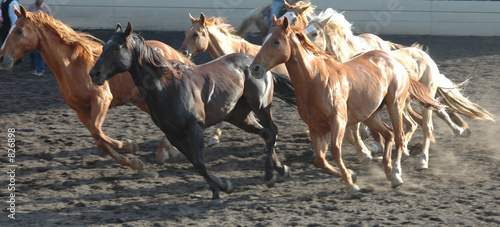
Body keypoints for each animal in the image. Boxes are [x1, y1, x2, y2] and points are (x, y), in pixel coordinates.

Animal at [0, 5, 191, 169]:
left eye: (19, 31)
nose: (2, 58)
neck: (71, 65)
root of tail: (174, 53)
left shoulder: (102, 99)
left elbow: (99, 133)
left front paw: (130, 145)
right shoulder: (81, 110)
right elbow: (99, 139)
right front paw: (132, 162)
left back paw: (167, 152)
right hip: (142, 101)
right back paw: (172, 153)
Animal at [90, 22, 296, 201]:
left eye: (116, 48)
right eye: (103, 47)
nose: (94, 74)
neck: (166, 87)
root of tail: (258, 65)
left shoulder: (195, 128)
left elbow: (199, 162)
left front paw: (224, 186)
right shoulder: (173, 135)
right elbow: (195, 164)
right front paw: (216, 190)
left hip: (261, 106)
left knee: (272, 131)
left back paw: (270, 174)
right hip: (239, 116)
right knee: (266, 134)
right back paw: (279, 170)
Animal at [252, 16, 444, 197]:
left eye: (276, 41)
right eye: (264, 39)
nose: (254, 67)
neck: (315, 80)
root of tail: (394, 60)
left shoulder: (338, 121)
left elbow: (336, 151)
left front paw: (351, 185)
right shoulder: (315, 127)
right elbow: (320, 159)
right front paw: (352, 175)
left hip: (395, 105)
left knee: (400, 137)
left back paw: (398, 174)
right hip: (370, 115)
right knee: (389, 134)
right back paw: (388, 171)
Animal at [302, 8, 494, 168]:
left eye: (315, 33)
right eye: (303, 30)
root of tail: (424, 54)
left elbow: (357, 131)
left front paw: (371, 152)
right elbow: (353, 132)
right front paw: (370, 152)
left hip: (422, 95)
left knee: (428, 123)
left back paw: (426, 157)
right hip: (410, 100)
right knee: (423, 118)